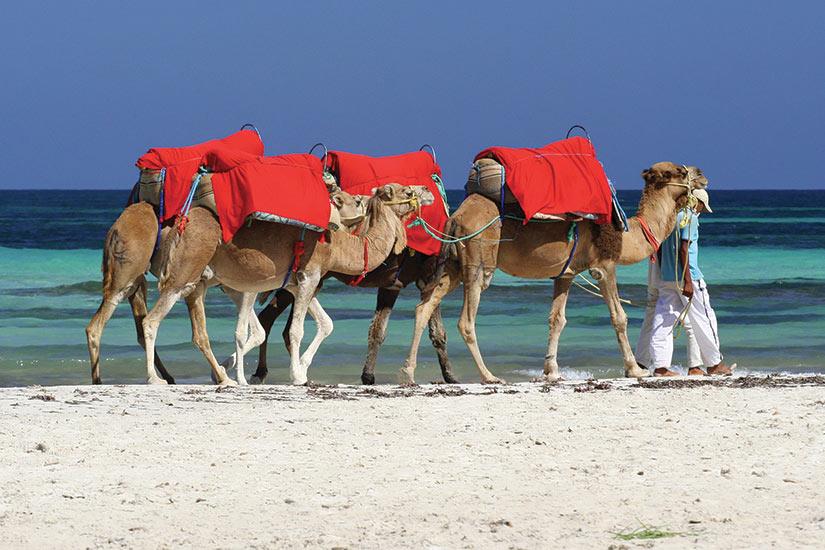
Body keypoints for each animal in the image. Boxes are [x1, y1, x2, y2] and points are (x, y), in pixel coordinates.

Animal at [140, 183, 432, 386]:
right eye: (407, 190)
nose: (428, 191)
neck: (337, 244)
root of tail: (179, 223)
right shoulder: (310, 275)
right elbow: (296, 331)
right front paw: (297, 376)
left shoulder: (297, 282)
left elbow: (326, 323)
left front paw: (301, 368)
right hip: (184, 272)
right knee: (151, 321)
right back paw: (155, 379)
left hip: (200, 280)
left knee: (199, 332)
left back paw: (224, 378)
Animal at [400, 162, 708, 386]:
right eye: (679, 172)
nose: (702, 175)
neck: (627, 234)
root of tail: (456, 216)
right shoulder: (603, 265)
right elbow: (618, 318)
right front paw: (635, 370)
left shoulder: (565, 274)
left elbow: (557, 320)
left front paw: (551, 371)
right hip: (478, 260)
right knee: (465, 320)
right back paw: (489, 376)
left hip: (453, 264)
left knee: (424, 306)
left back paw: (408, 373)